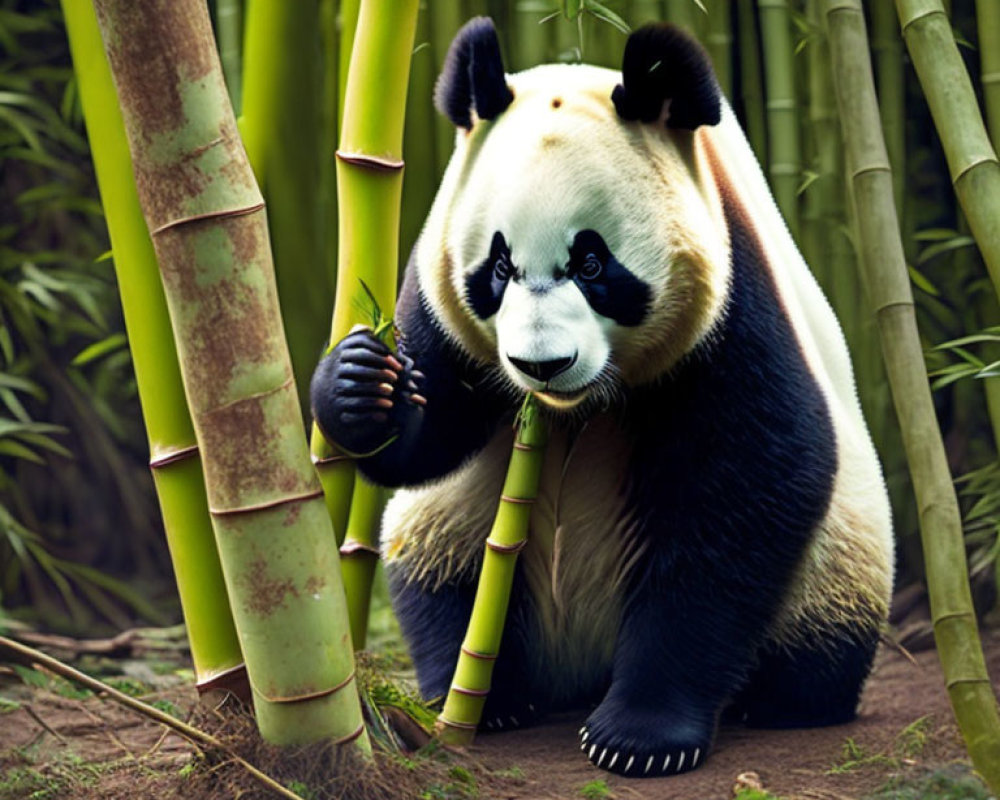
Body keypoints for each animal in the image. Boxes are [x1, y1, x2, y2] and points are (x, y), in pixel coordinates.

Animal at [310, 17, 892, 776]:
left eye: (591, 263)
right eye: (498, 266)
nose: (543, 364)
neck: (580, 409)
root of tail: (579, 668)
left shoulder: (730, 306)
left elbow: (749, 486)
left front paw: (640, 738)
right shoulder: (439, 295)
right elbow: (428, 434)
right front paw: (360, 386)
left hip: (839, 559)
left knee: (819, 627)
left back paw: (781, 702)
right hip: (458, 532)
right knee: (446, 581)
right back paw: (487, 697)